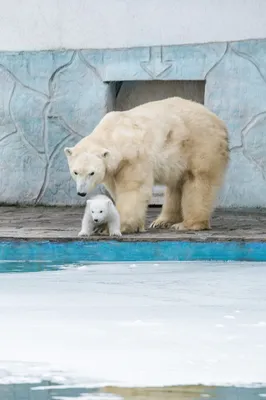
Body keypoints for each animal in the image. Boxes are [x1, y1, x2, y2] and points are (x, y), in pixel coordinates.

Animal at [64, 97, 229, 234]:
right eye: (75, 172)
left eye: (92, 173)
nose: (81, 193)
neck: (115, 134)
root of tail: (218, 121)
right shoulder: (112, 169)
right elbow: (116, 190)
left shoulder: (135, 157)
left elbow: (133, 189)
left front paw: (113, 227)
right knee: (176, 184)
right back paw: (163, 221)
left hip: (200, 144)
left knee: (198, 180)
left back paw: (188, 224)